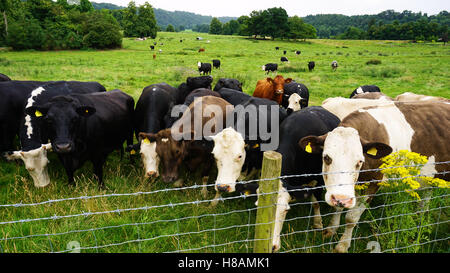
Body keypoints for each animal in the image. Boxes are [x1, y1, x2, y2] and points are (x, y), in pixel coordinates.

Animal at [298, 101, 450, 252]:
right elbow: (338, 208)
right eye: (326, 157)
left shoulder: (374, 183)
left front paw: (343, 245)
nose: (341, 198)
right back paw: (419, 217)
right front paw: (331, 229)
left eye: (360, 161)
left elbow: (351, 218)